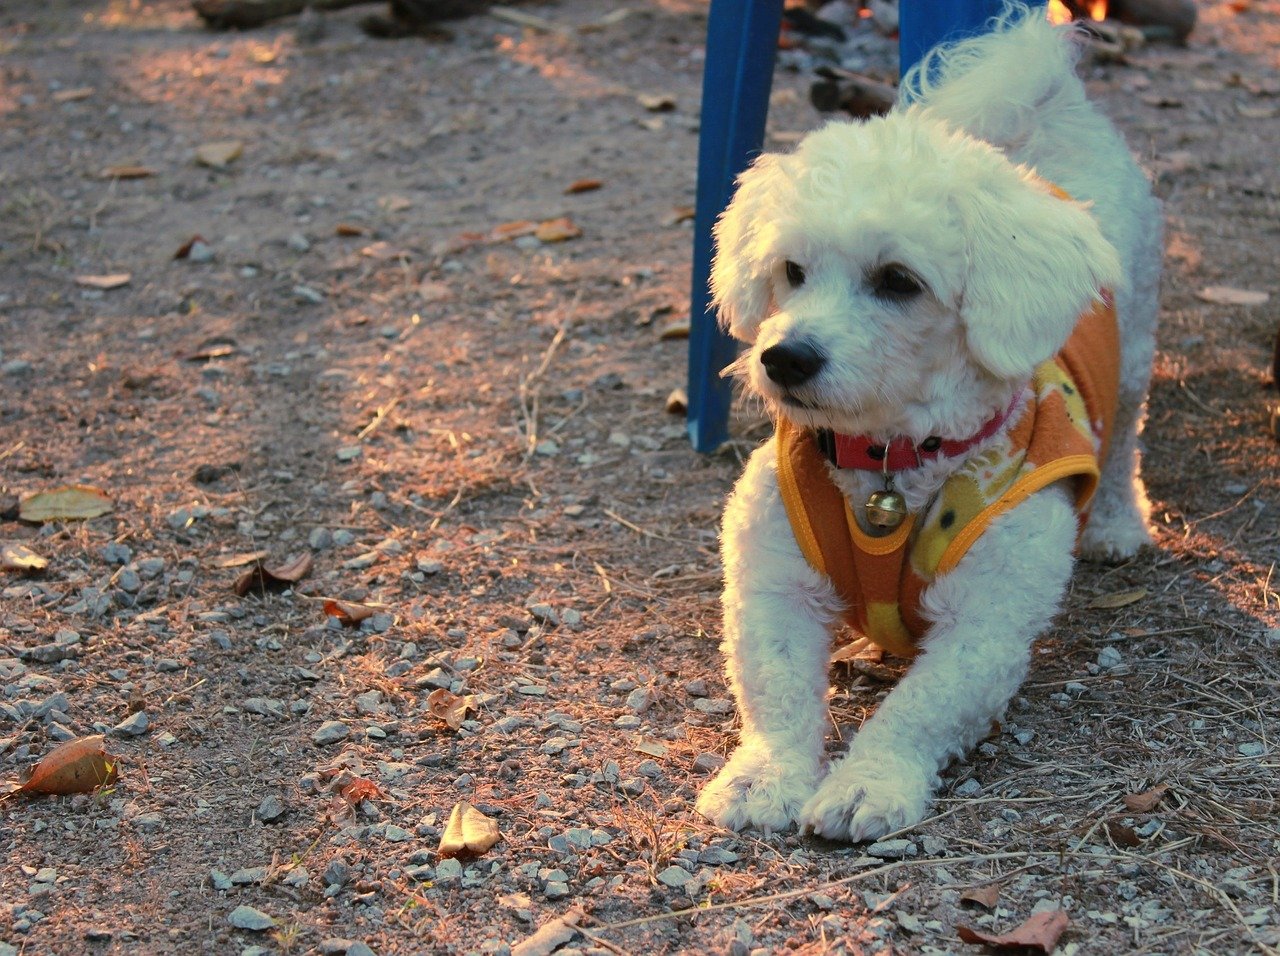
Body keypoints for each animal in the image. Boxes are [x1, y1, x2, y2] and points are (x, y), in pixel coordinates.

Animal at [696, 9, 1167, 844]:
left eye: (898, 282)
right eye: (791, 271)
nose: (784, 358)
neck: (890, 463)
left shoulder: (985, 628)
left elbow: (916, 709)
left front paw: (866, 783)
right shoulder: (771, 586)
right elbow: (776, 691)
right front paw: (764, 776)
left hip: (1137, 350)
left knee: (1121, 447)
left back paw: (1116, 524)